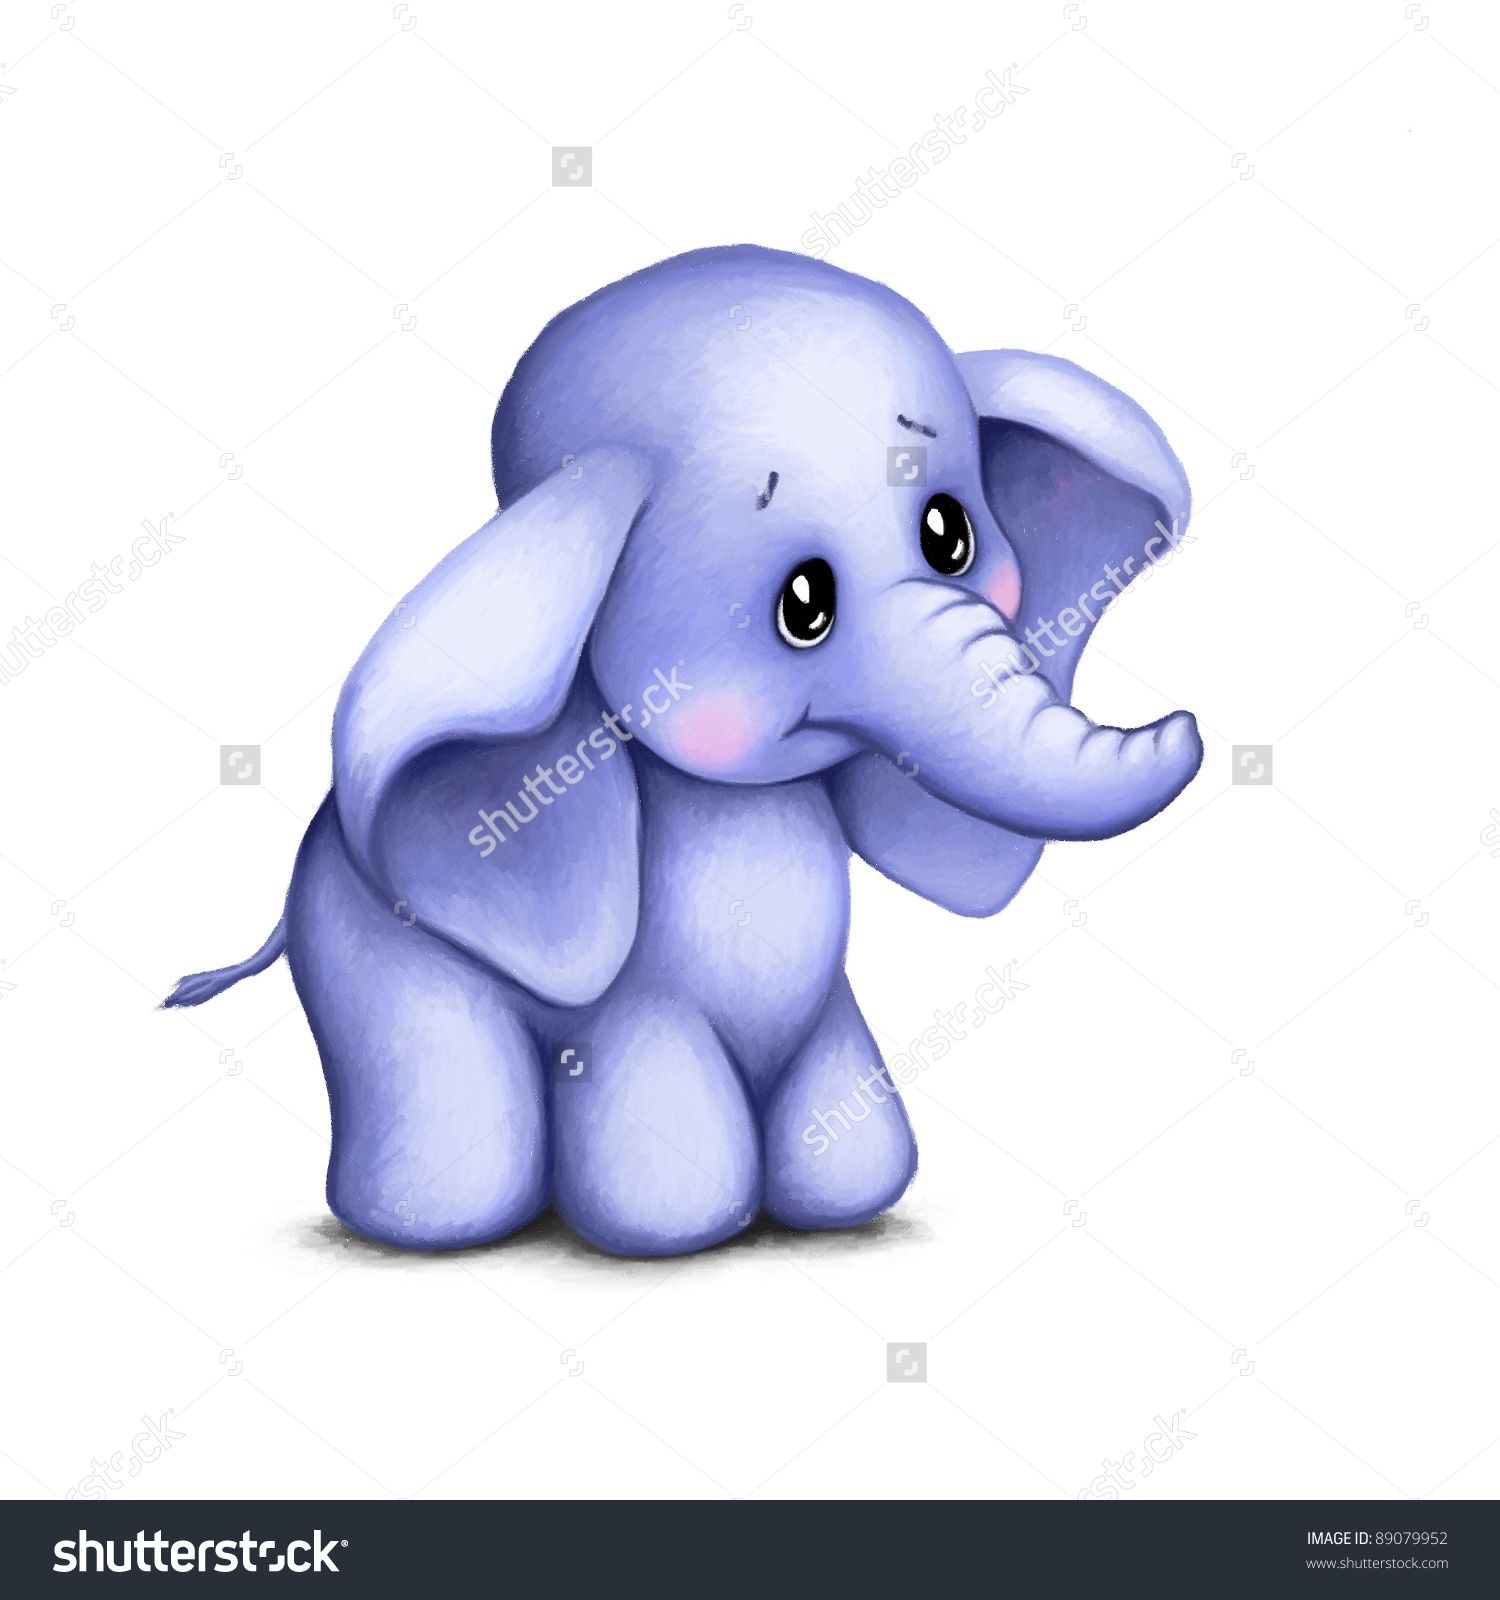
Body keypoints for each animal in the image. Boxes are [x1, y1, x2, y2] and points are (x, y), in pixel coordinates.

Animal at [166, 244, 1201, 1257]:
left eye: (950, 535)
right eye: (804, 603)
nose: (1190, 725)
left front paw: (835, 1206)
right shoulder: (635, 1000)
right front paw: (677, 1229)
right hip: (366, 951)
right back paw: (432, 1224)